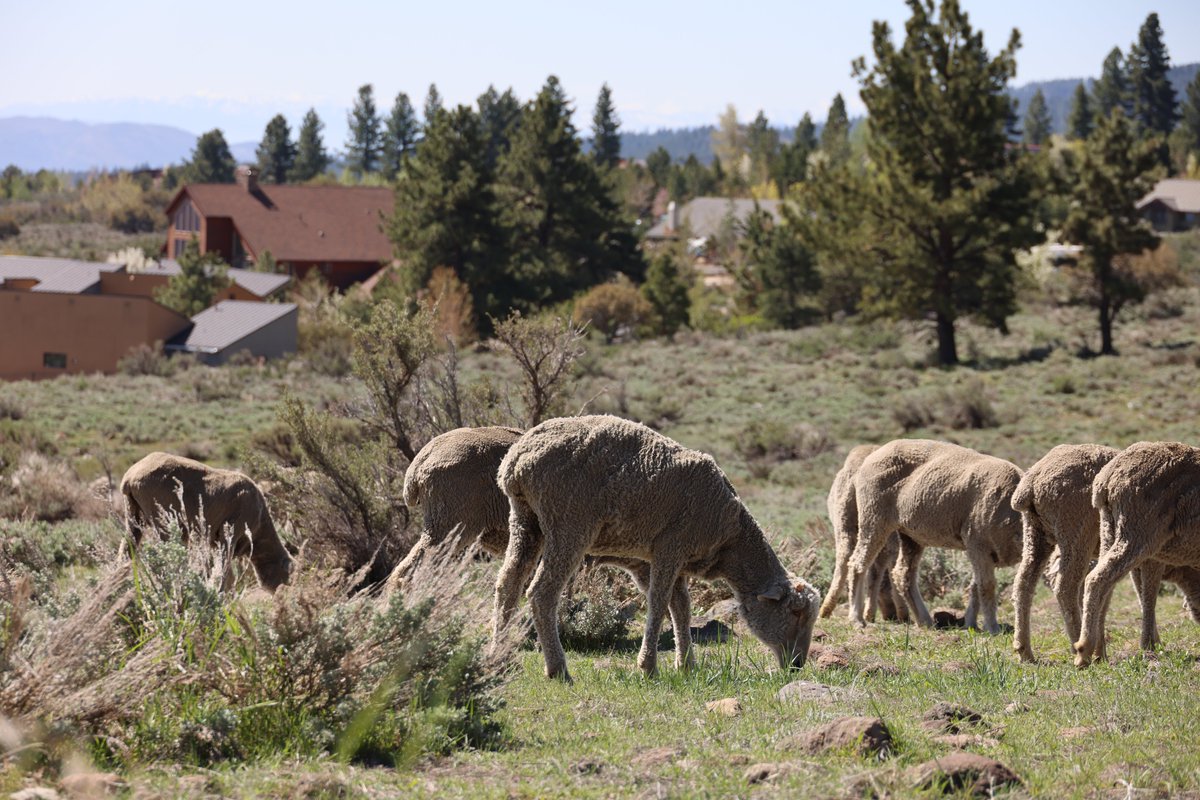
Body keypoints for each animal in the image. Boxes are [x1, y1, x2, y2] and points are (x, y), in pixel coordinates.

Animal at [120, 452, 292, 592]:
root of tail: (129, 477)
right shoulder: (231, 531)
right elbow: (224, 570)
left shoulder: (215, 542)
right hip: (162, 517)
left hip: (133, 512)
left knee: (127, 547)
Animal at [491, 414, 820, 681]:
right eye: (795, 613)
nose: (797, 665)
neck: (731, 539)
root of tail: (518, 460)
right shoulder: (670, 547)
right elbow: (659, 604)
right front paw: (649, 667)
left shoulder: (657, 561)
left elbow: (681, 607)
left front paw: (686, 665)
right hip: (569, 525)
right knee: (540, 592)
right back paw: (558, 669)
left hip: (524, 521)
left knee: (507, 583)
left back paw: (500, 658)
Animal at [846, 439, 1023, 634]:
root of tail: (872, 456)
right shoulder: (977, 544)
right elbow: (986, 586)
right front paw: (992, 628)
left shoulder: (984, 553)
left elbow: (975, 587)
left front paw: (971, 624)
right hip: (874, 518)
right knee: (857, 564)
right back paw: (856, 619)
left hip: (910, 535)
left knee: (903, 574)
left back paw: (924, 620)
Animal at [1075, 441, 1200, 666]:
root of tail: (1105, 482)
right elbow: (1148, 592)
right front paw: (1150, 645)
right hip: (1137, 534)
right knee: (1097, 579)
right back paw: (1084, 651)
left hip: (1110, 530)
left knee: (1106, 586)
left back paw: (1100, 653)